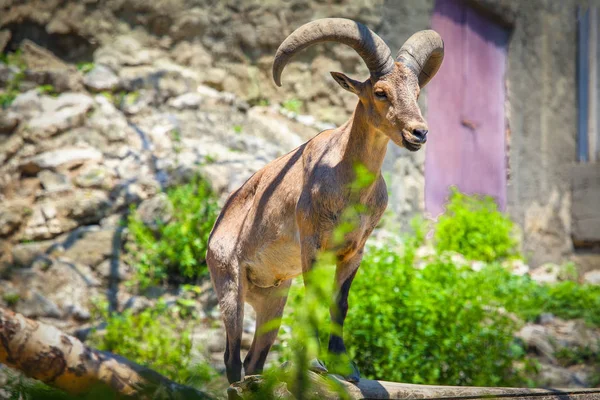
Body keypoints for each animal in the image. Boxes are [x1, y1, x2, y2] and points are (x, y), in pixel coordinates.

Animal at [207, 18, 446, 384]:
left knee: (254, 359)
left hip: (273, 297)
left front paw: (345, 366)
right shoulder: (312, 244)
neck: (350, 186)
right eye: (380, 92)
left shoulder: (353, 251)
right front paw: (315, 362)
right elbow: (313, 302)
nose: (419, 133)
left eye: (416, 93)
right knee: (232, 358)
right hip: (230, 284)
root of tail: (213, 233)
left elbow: (340, 304)